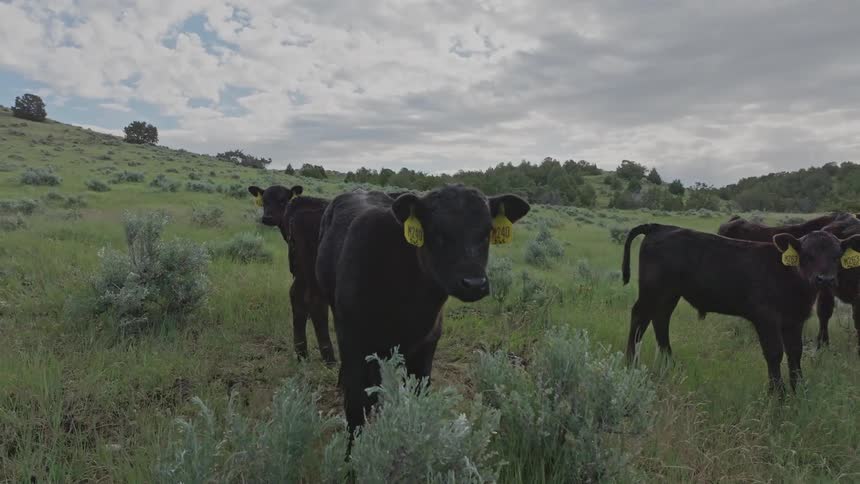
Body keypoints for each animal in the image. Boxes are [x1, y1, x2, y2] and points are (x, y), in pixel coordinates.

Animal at [248, 184, 335, 364]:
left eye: (282, 200)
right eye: (264, 200)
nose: (267, 218)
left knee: (298, 297)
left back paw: (302, 354)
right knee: (314, 301)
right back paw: (328, 358)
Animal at [315, 184, 530, 436]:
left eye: (487, 232)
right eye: (436, 232)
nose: (474, 283)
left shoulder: (427, 344)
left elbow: (418, 395)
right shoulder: (353, 339)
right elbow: (356, 407)